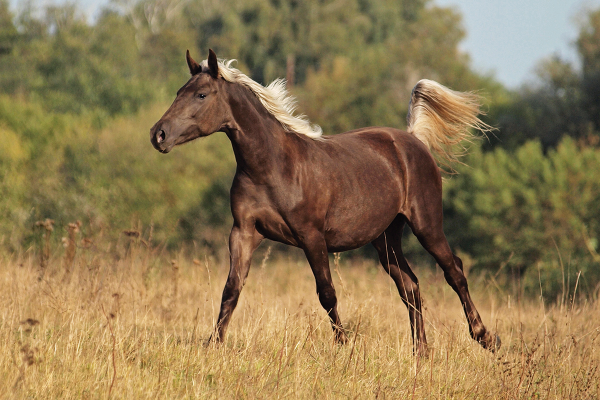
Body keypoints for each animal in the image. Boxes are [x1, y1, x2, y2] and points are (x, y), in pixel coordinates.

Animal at [151, 48, 502, 354]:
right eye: (180, 91)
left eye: (201, 95)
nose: (158, 134)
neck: (274, 166)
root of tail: (414, 140)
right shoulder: (244, 232)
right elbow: (231, 289)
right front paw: (213, 344)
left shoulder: (312, 237)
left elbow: (327, 293)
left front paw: (343, 345)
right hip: (386, 238)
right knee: (411, 286)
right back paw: (421, 353)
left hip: (426, 225)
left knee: (454, 272)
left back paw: (486, 338)